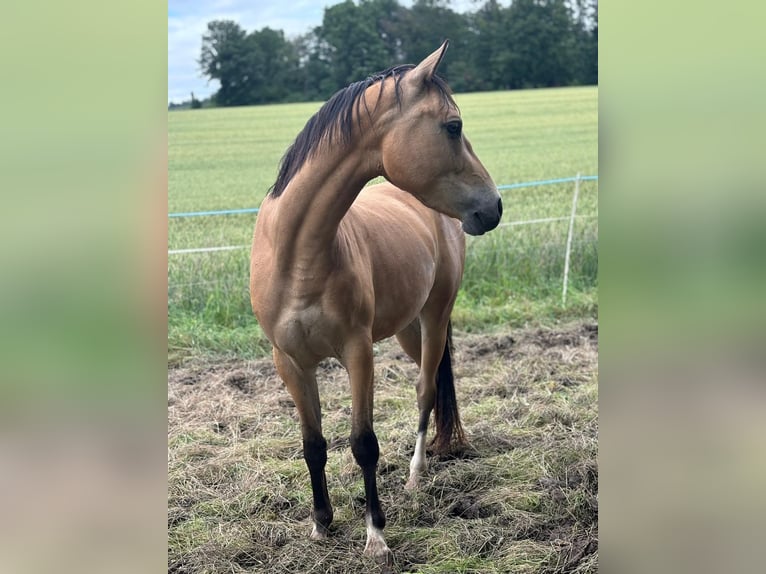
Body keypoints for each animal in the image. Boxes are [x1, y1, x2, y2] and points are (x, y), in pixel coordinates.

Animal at [252, 42, 504, 564]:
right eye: (454, 126)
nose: (494, 206)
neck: (297, 254)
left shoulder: (357, 352)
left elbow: (363, 442)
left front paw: (376, 536)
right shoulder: (290, 363)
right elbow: (313, 444)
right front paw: (321, 525)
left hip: (434, 319)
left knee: (426, 390)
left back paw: (415, 475)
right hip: (407, 329)